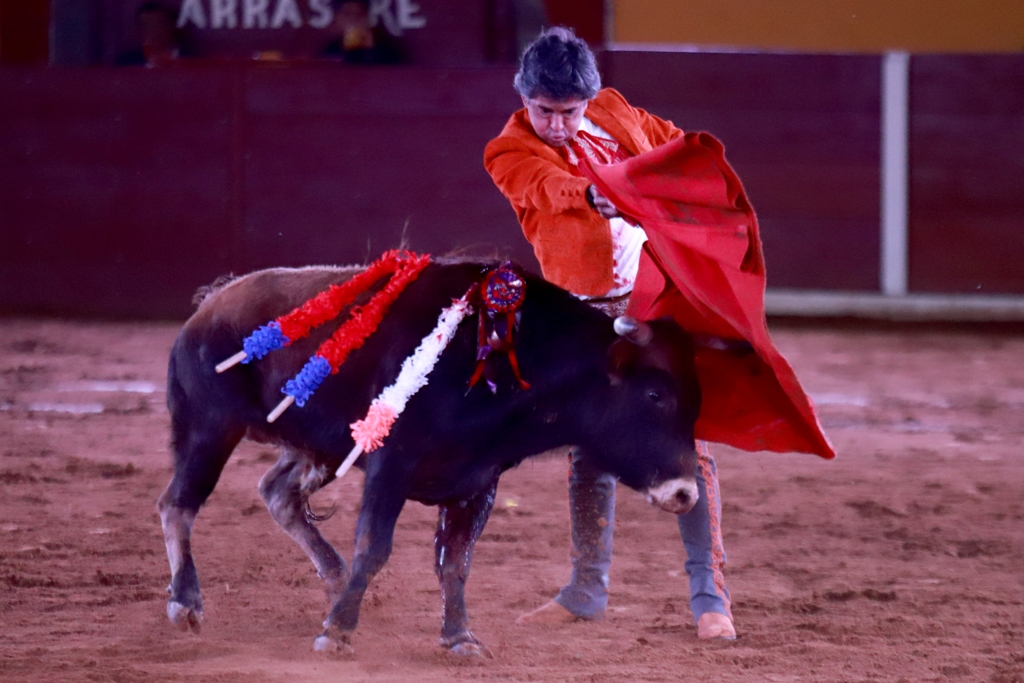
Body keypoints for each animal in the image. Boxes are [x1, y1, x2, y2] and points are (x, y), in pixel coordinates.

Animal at [155, 259, 704, 655]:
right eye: (655, 395)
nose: (686, 492)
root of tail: (212, 303)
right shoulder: (391, 464)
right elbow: (374, 547)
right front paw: (338, 633)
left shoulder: (478, 481)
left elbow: (457, 562)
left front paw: (459, 637)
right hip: (209, 428)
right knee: (177, 504)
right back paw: (186, 603)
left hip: (322, 446)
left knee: (276, 492)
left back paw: (334, 581)